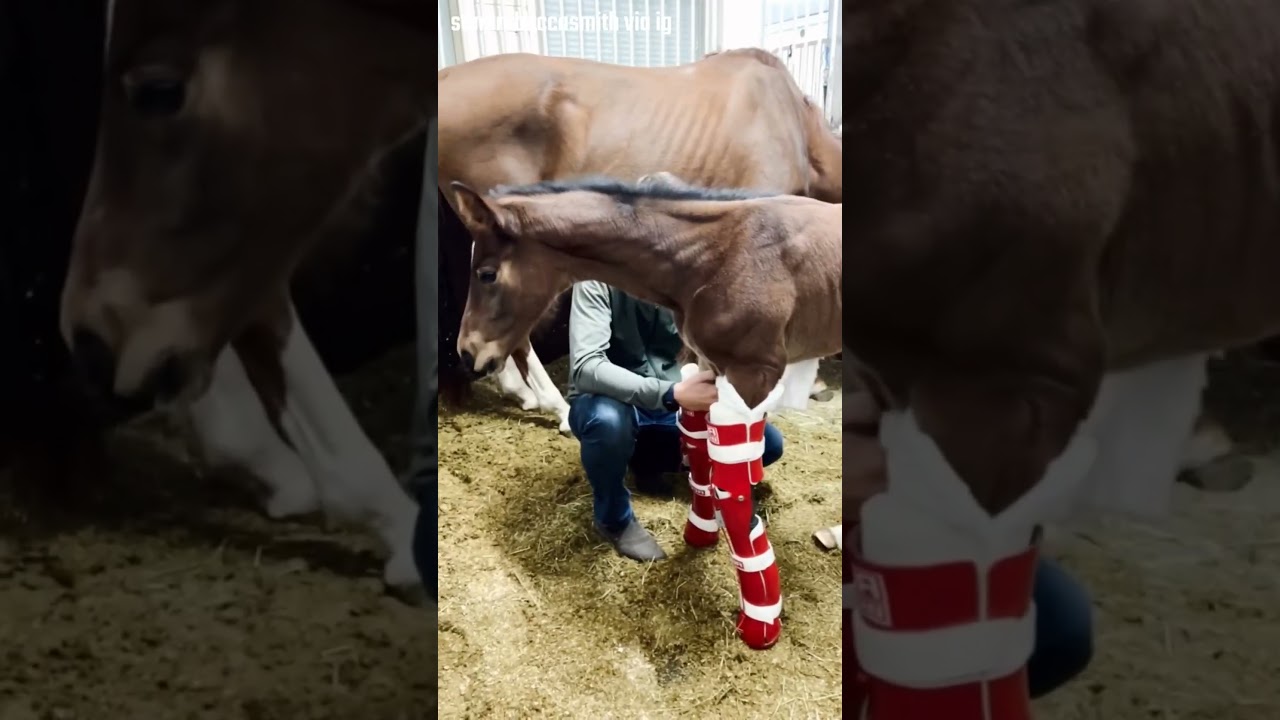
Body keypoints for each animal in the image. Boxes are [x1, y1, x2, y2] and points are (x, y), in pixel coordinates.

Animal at [449, 175, 841, 649]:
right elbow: (699, 452)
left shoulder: (752, 376)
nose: (467, 352)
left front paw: (761, 621)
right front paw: (699, 535)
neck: (712, 255)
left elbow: (731, 492)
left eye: (487, 274)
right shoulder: (709, 369)